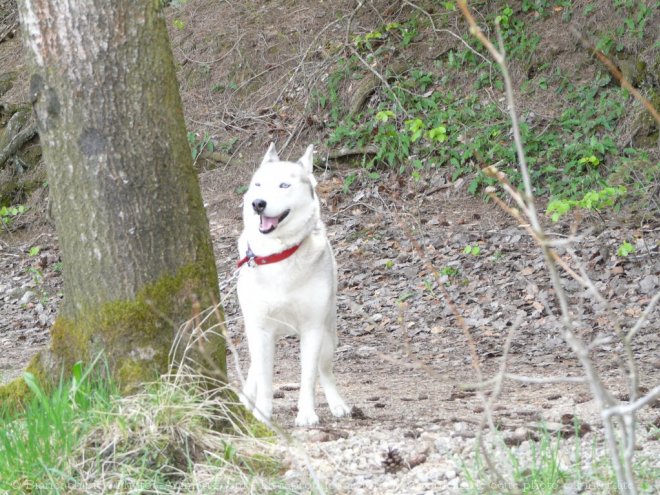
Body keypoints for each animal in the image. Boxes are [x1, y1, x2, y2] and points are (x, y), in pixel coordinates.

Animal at [236, 142, 350, 426]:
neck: (279, 254)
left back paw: (338, 404)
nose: (258, 204)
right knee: (254, 369)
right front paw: (262, 415)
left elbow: (308, 377)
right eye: (258, 185)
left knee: (325, 371)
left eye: (284, 185)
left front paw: (307, 413)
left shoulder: (312, 329)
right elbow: (265, 380)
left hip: (328, 336)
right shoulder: (260, 329)